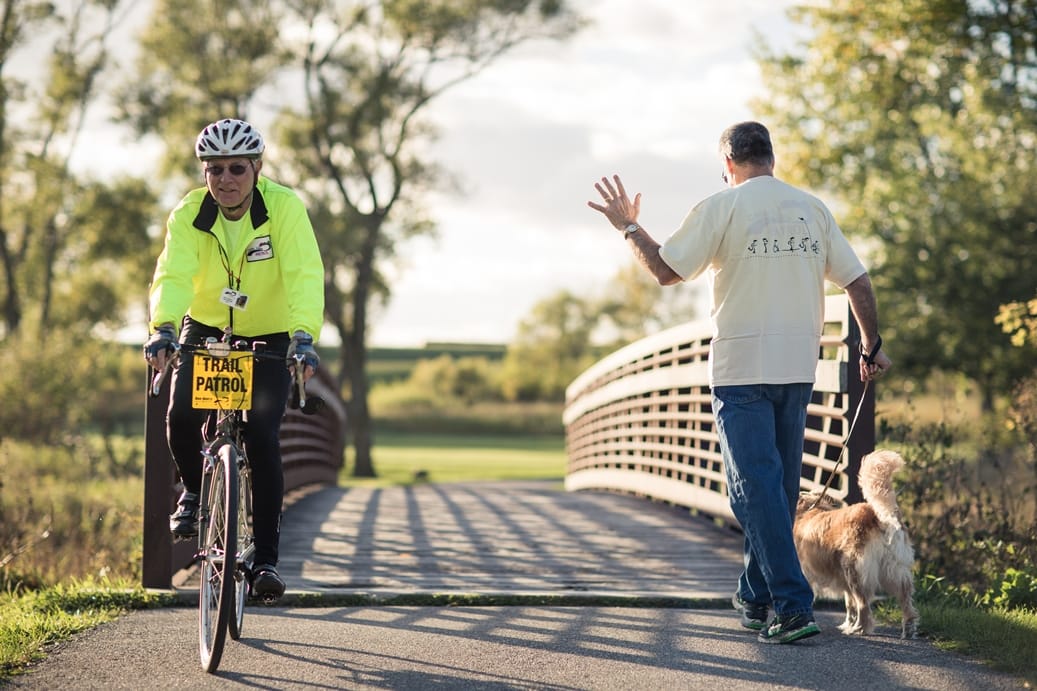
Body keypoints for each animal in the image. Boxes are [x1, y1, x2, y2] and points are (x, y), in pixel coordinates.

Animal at [796, 446, 920, 634]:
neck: (809, 511)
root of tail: (880, 518)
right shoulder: (842, 580)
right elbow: (849, 604)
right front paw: (847, 622)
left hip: (855, 571)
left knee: (864, 605)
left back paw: (859, 629)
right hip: (895, 570)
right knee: (905, 600)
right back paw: (909, 627)